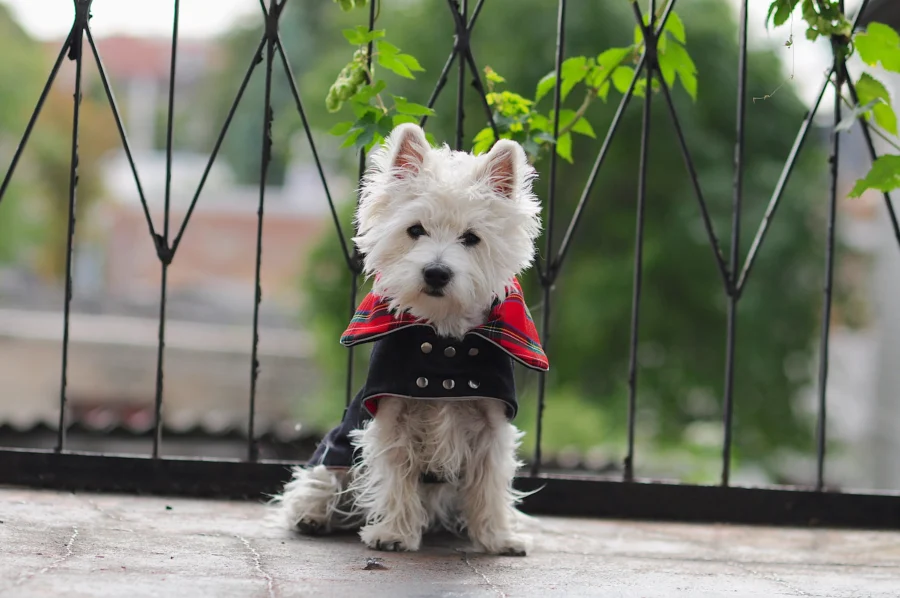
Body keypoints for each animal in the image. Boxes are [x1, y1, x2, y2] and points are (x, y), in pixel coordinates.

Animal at [270, 123, 544, 556]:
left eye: (471, 238)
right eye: (415, 230)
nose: (436, 272)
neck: (447, 346)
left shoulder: (491, 424)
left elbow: (489, 485)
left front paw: (498, 538)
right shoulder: (390, 417)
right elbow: (396, 477)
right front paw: (394, 534)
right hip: (333, 458)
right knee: (319, 486)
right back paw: (312, 517)